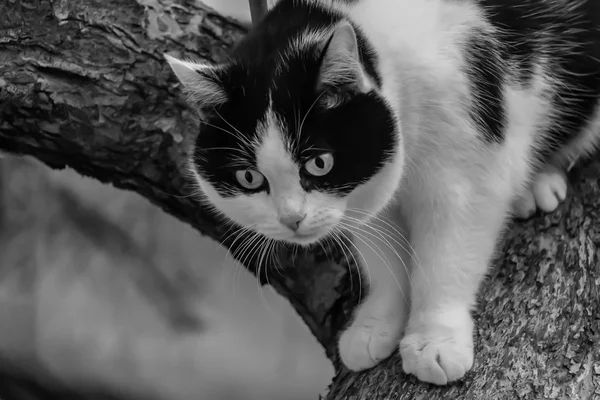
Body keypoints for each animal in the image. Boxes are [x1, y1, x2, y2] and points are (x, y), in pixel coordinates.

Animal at [166, 0, 600, 388]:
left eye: (319, 163)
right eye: (249, 177)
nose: (292, 219)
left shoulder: (467, 163)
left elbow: (447, 257)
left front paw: (434, 340)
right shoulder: (362, 199)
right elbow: (384, 256)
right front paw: (377, 325)